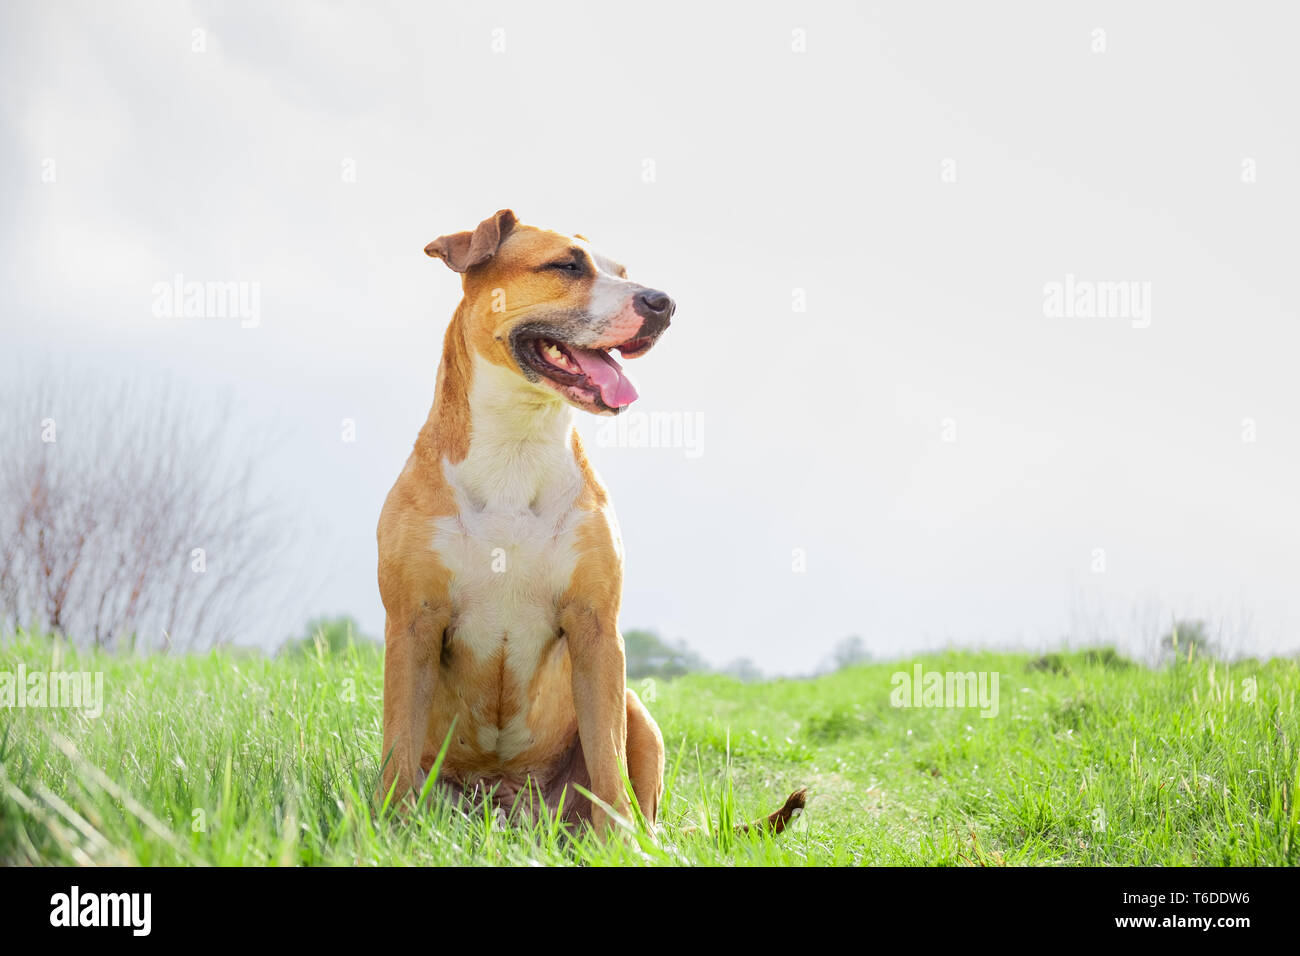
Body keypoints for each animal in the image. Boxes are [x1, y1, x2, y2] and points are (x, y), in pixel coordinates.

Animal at [377, 210, 800, 837]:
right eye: (566, 265)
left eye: (622, 271)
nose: (663, 302)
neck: (518, 442)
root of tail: (511, 814)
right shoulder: (412, 623)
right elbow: (398, 746)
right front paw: (389, 831)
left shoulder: (597, 627)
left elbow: (607, 759)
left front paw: (618, 842)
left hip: (638, 711)